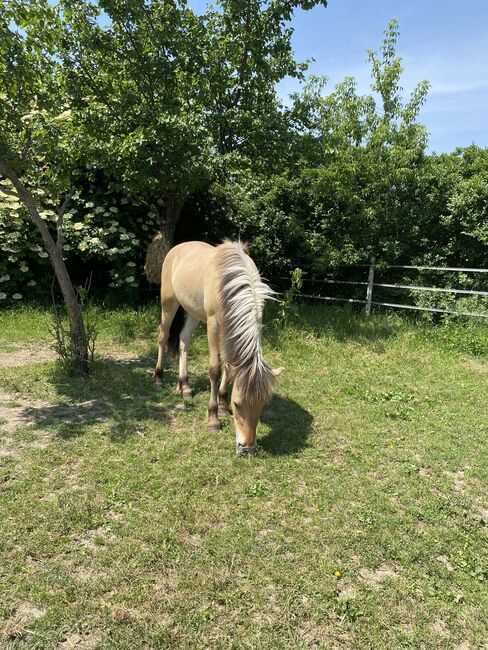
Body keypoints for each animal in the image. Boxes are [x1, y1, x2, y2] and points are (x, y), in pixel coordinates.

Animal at [152, 240, 282, 454]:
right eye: (237, 404)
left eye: (263, 405)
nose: (247, 447)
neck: (232, 284)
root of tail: (178, 247)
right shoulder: (214, 325)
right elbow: (216, 369)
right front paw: (213, 418)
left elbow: (229, 367)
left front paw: (222, 403)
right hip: (169, 303)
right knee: (163, 337)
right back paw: (158, 378)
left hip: (193, 312)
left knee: (183, 340)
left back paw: (184, 386)